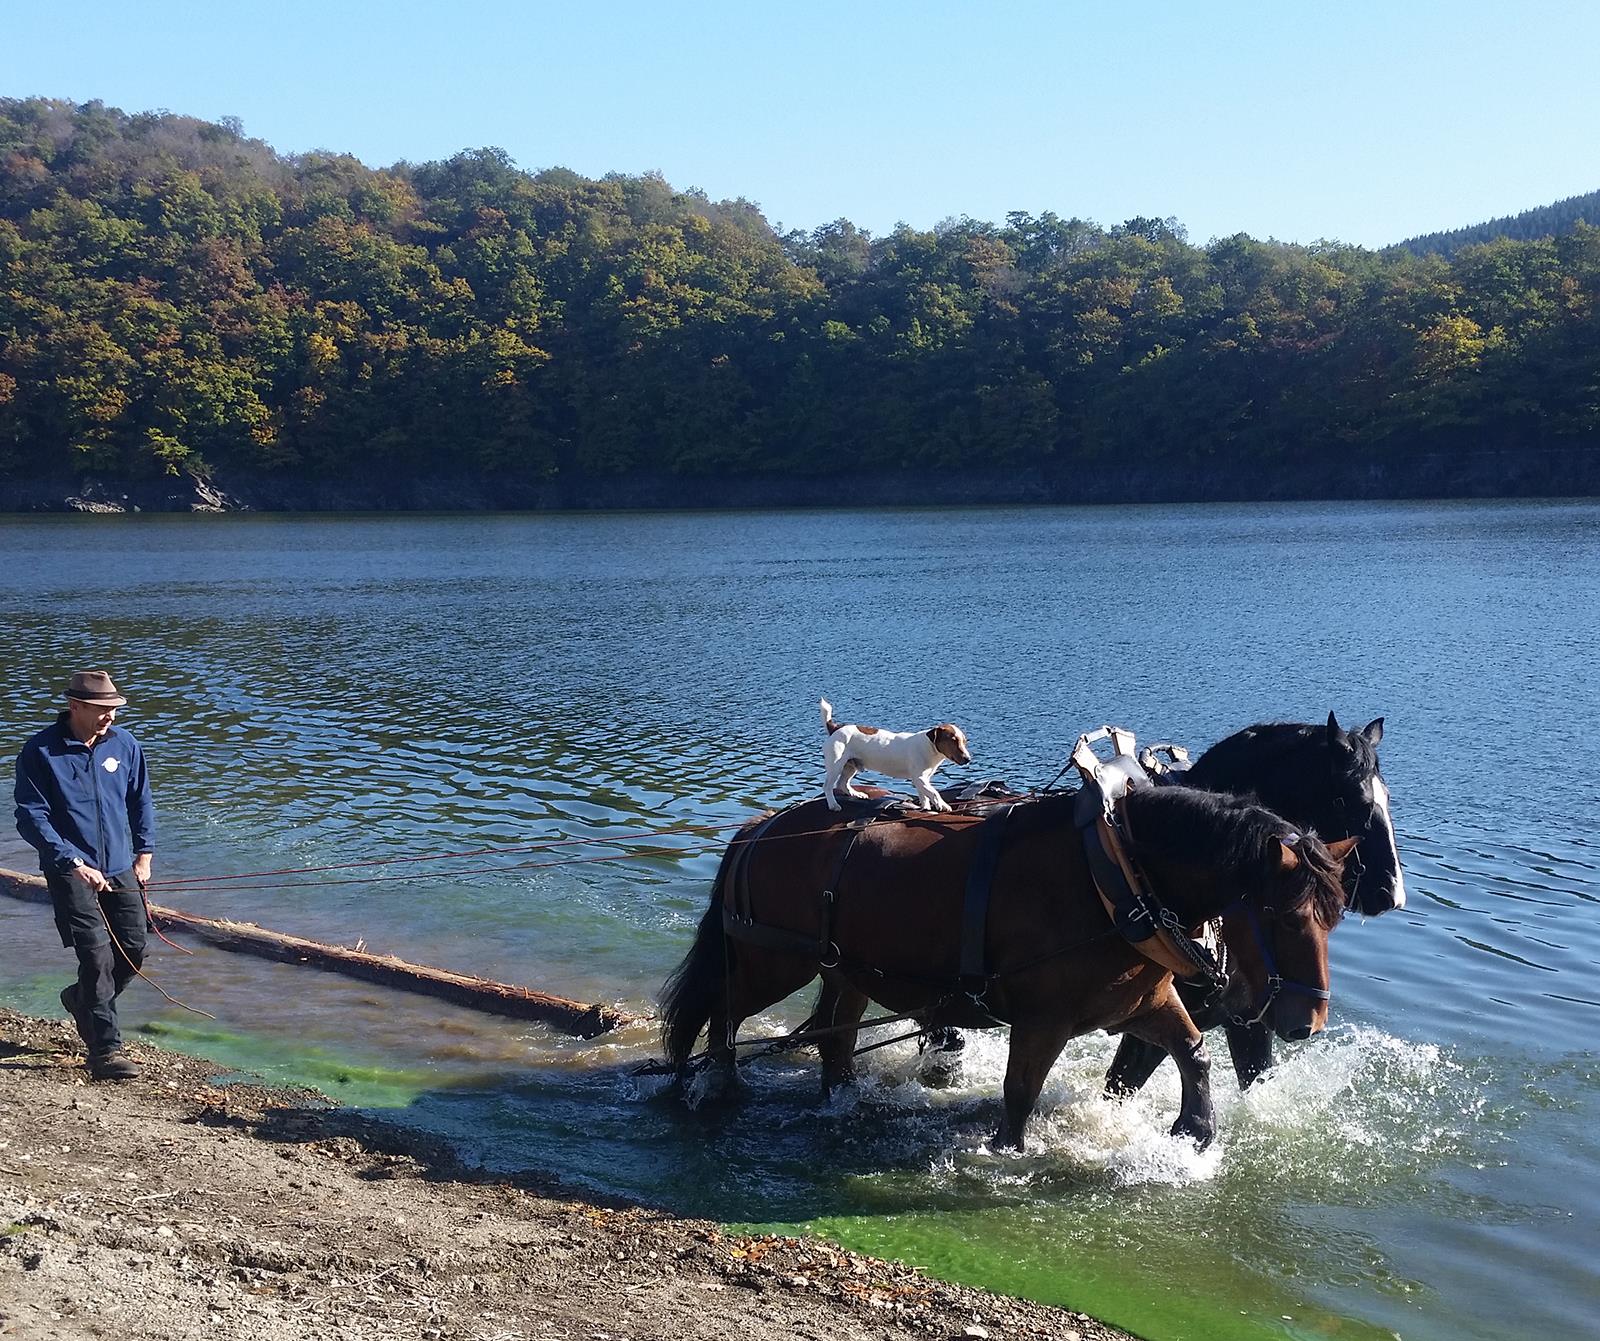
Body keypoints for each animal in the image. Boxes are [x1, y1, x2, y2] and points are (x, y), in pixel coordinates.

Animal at [659, 787, 1350, 1152]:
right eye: (1287, 917)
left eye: (1334, 916)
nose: (1307, 1023)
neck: (1116, 880)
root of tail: (760, 826)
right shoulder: (1043, 1020)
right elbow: (1021, 1090)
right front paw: (1006, 1150)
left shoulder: (1143, 1002)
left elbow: (1193, 1050)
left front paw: (1194, 1130)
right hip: (770, 962)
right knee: (722, 1012)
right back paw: (719, 1083)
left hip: (843, 972)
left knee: (835, 1036)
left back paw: (840, 1099)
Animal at [819, 697, 966, 812]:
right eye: (953, 740)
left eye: (965, 741)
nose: (968, 759)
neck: (929, 747)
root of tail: (835, 728)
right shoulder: (919, 778)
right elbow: (934, 792)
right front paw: (942, 805)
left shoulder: (923, 780)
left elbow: (925, 794)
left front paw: (926, 807)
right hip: (836, 765)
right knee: (828, 786)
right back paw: (833, 805)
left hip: (851, 765)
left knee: (842, 783)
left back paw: (857, 794)